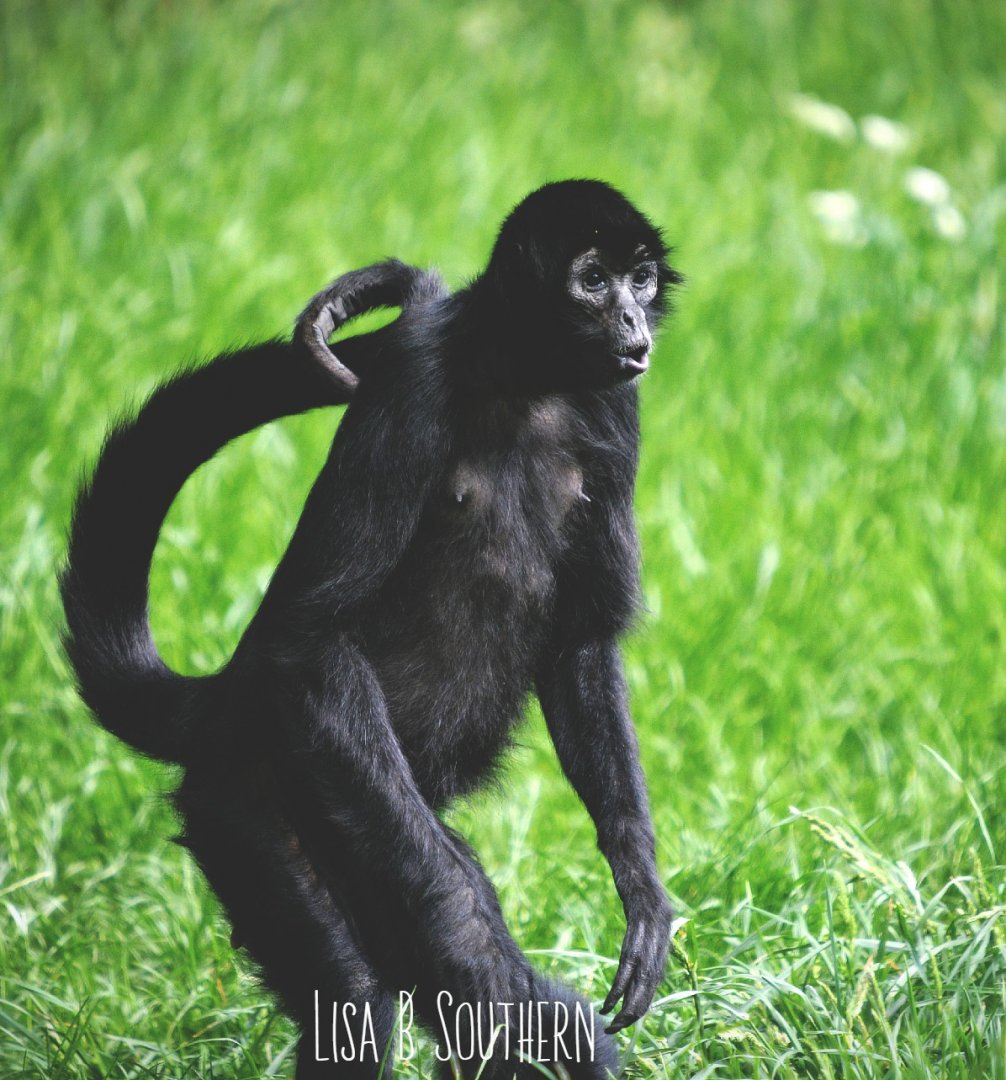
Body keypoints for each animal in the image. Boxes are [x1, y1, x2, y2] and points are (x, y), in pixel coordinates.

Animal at [60, 180, 682, 1079]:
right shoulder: (415, 372)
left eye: (640, 279)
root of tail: (226, 699)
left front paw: (641, 890)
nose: (632, 320)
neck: (526, 380)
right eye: (593, 279)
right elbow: (317, 637)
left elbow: (581, 643)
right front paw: (477, 950)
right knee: (351, 994)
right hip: (253, 808)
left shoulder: (616, 404)